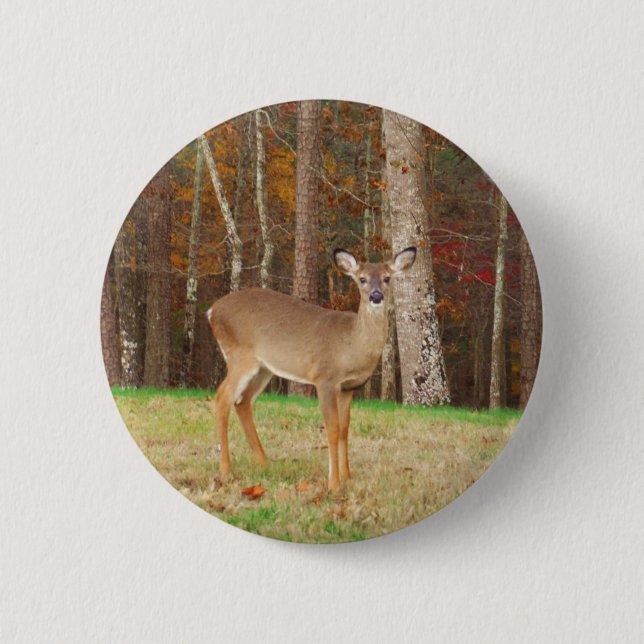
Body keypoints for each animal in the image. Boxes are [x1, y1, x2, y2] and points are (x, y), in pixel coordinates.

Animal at [206, 246, 417, 493]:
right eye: (362, 279)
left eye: (387, 278)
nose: (376, 296)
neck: (351, 344)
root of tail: (212, 311)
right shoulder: (325, 378)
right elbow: (332, 428)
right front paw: (334, 484)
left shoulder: (348, 387)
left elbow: (345, 429)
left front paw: (348, 477)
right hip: (240, 356)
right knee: (222, 398)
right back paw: (226, 470)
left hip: (264, 368)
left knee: (242, 402)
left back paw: (264, 463)